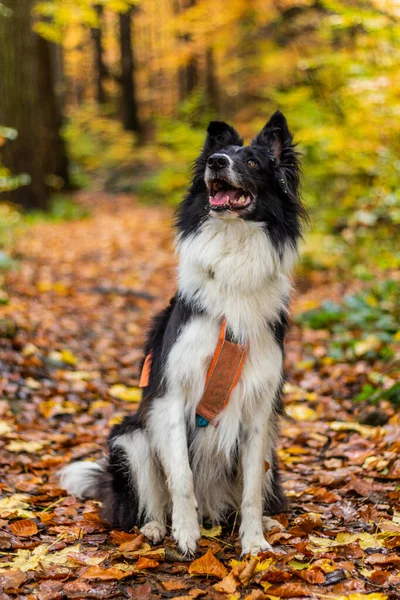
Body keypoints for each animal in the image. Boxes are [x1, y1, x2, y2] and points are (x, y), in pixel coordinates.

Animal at [59, 110, 304, 556]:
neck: (233, 256)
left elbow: (252, 489)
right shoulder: (170, 398)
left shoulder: (259, 408)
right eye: (216, 157)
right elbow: (182, 476)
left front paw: (254, 542)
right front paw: (186, 535)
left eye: (252, 161)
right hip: (131, 437)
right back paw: (156, 528)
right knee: (148, 500)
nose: (217, 163)